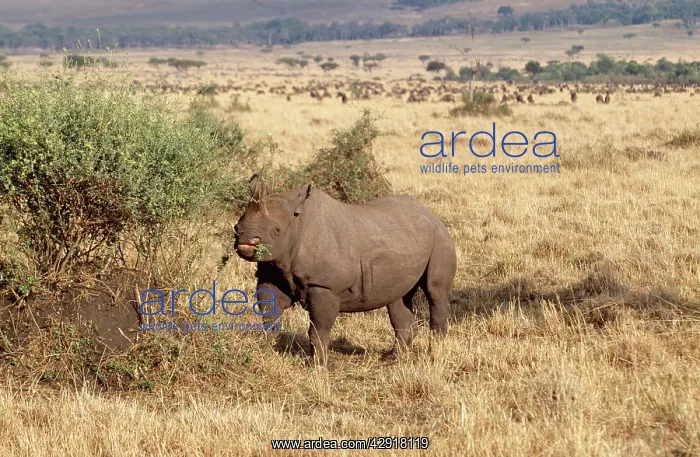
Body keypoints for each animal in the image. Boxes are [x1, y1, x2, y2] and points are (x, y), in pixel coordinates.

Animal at [233, 173, 457, 369]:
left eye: (276, 231)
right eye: (236, 228)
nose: (245, 239)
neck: (294, 223)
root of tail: (431, 214)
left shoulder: (324, 285)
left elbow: (319, 329)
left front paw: (320, 367)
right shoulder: (271, 273)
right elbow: (269, 315)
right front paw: (264, 352)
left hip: (440, 239)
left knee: (435, 293)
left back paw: (434, 355)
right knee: (397, 299)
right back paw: (393, 358)